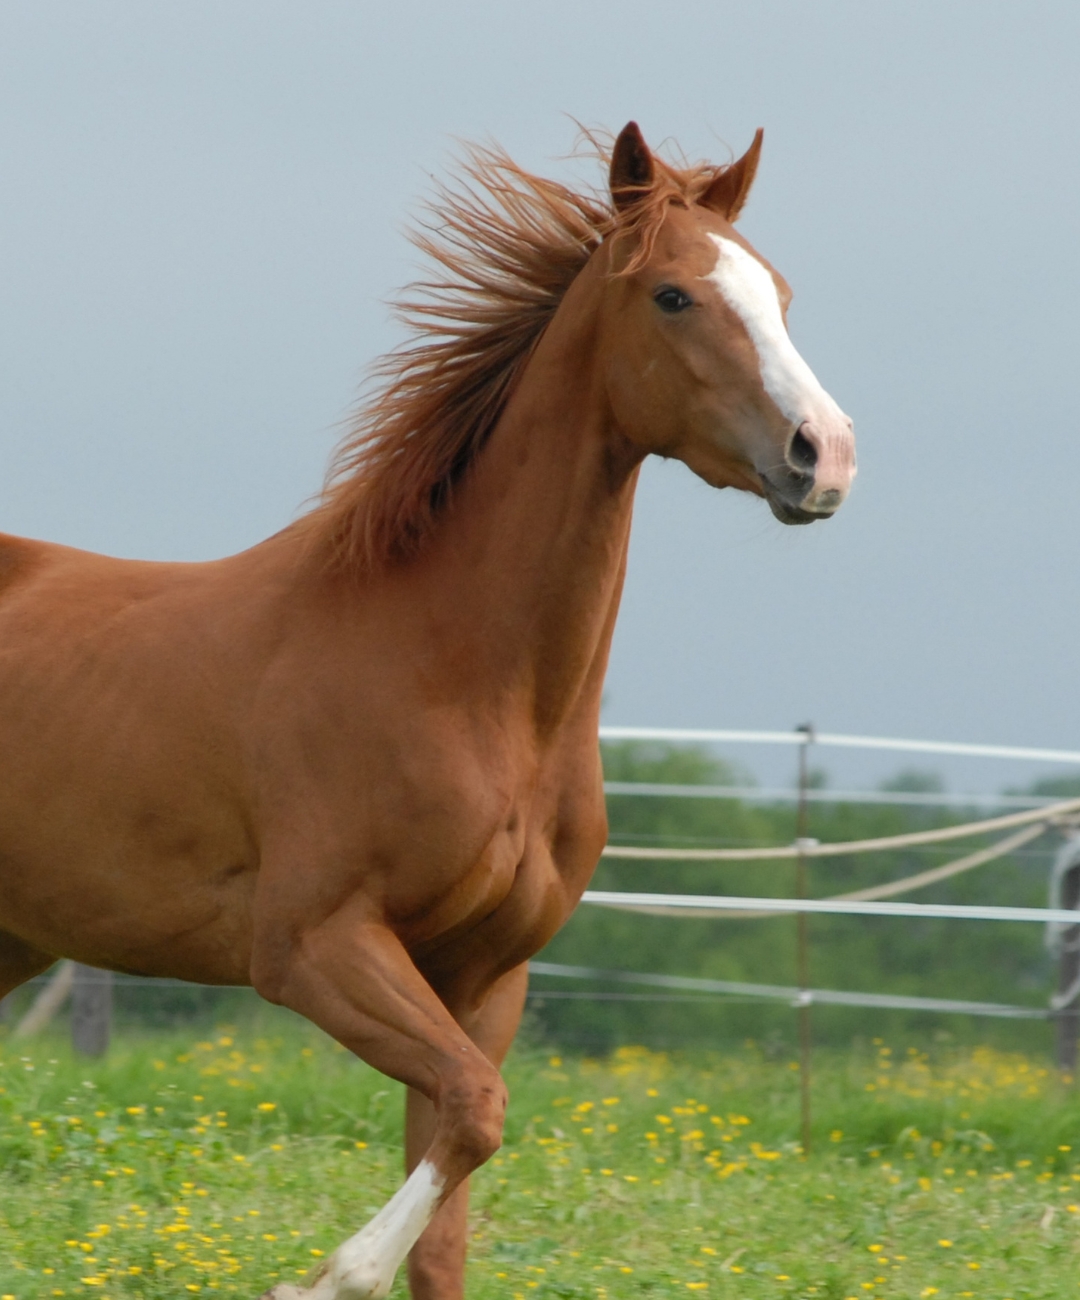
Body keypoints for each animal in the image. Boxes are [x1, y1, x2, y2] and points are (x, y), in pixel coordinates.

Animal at [0, 119, 857, 1289]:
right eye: (674, 295)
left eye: (780, 292)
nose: (826, 454)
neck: (464, 683)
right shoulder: (315, 946)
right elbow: (475, 1114)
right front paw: (316, 1277)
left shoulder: (481, 978)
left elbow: (453, 1187)